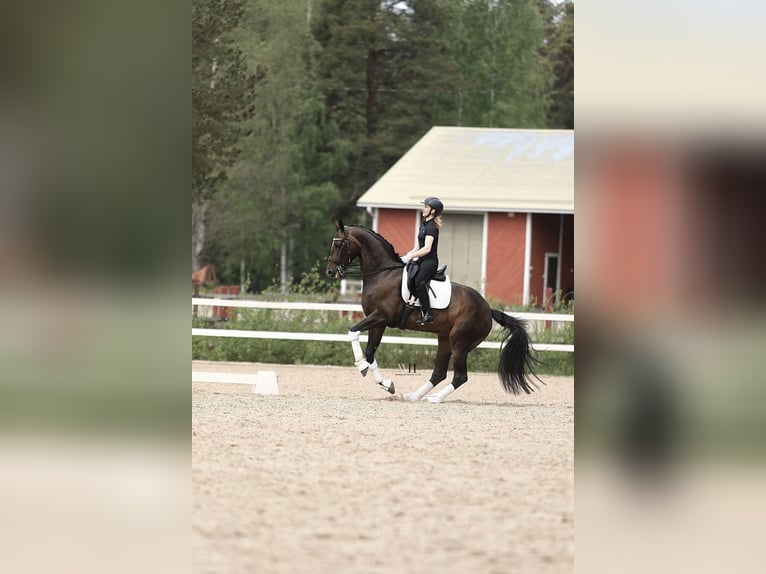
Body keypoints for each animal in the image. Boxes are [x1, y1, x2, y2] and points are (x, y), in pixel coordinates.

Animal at [325, 220, 541, 403]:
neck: (383, 274)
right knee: (439, 373)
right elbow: (370, 353)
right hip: (444, 339)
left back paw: (436, 398)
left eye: (339, 245)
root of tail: (488, 309)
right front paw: (386, 384)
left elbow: (353, 332)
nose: (329, 272)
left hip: (459, 342)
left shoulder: (380, 317)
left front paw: (361, 366)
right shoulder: (378, 322)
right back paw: (413, 396)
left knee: (460, 376)